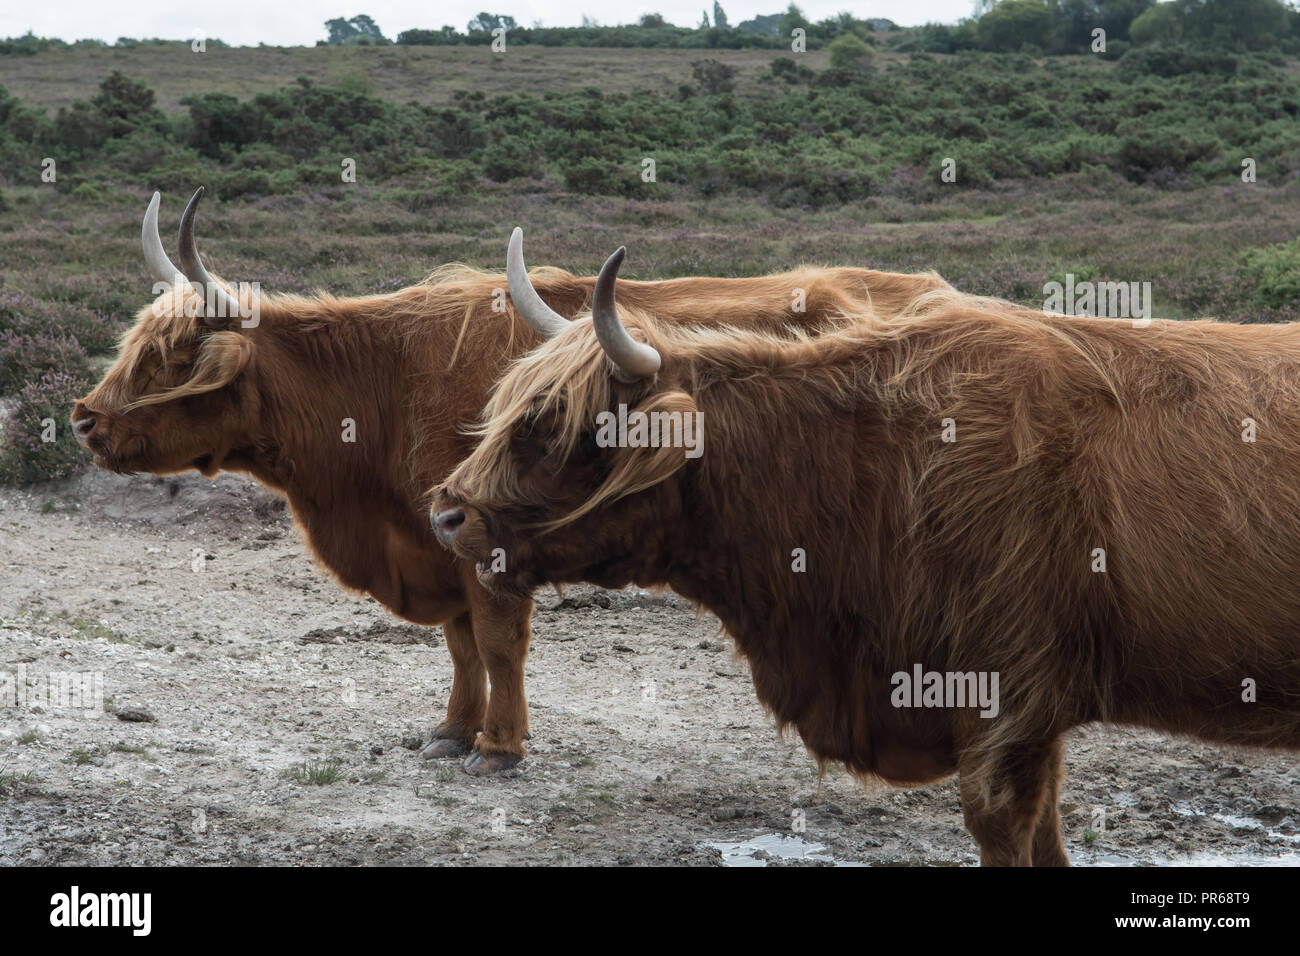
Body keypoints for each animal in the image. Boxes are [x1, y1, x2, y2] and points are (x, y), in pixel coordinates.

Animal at [71, 191, 951, 775]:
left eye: (167, 356)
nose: (82, 420)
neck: (382, 391)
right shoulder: (442, 540)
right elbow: (461, 648)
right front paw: (452, 732)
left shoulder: (489, 548)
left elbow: (497, 644)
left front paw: (498, 747)